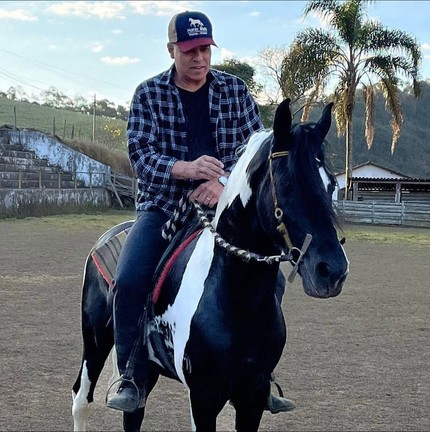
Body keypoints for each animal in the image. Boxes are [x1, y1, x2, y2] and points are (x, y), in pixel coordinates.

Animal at [71, 99, 350, 430]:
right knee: (81, 399)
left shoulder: (252, 395)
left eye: (331, 185)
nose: (332, 271)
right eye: (287, 183)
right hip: (95, 341)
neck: (236, 297)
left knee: (134, 410)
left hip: (145, 370)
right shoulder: (204, 396)